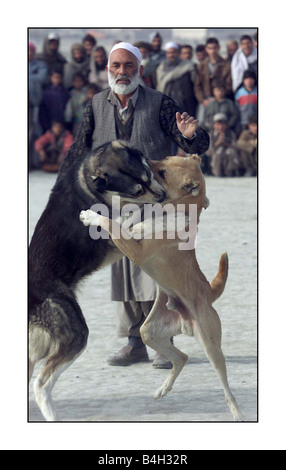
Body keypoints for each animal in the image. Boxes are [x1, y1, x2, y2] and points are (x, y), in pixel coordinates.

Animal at [28, 140, 165, 422]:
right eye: (137, 190)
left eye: (148, 175)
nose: (163, 195)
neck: (91, 186)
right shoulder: (115, 239)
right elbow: (125, 217)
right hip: (77, 335)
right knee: (41, 384)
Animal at [80, 155, 244, 422]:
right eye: (166, 159)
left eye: (164, 173)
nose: (145, 159)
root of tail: (208, 294)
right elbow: (120, 221)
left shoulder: (135, 251)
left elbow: (110, 222)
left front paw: (93, 217)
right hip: (149, 331)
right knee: (181, 358)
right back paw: (163, 389)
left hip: (211, 346)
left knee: (225, 386)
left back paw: (237, 412)